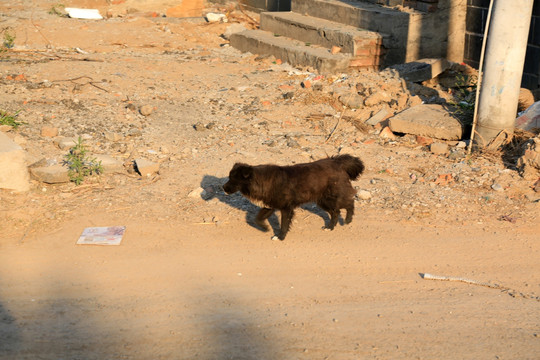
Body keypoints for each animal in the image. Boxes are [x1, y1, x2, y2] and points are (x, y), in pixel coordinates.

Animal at [221, 154, 364, 240]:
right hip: (322, 200)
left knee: (349, 203)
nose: (223, 188)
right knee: (336, 212)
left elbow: (284, 224)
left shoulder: (286, 208)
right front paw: (265, 228)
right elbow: (258, 218)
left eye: (233, 179)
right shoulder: (269, 205)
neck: (259, 181)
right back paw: (330, 227)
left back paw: (348, 220)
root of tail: (337, 162)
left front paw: (280, 237)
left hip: (333, 196)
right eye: (229, 177)